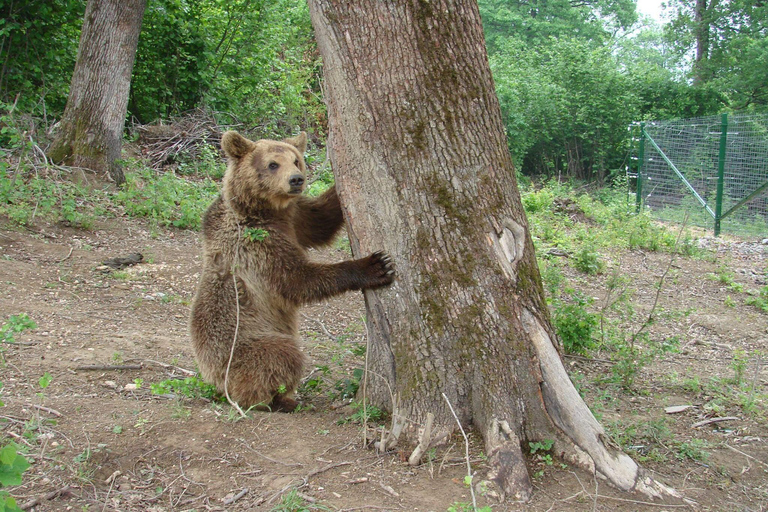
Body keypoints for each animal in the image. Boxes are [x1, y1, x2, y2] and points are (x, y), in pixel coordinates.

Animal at [189, 130, 394, 412]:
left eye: (296, 160)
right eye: (273, 164)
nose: (296, 179)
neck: (265, 210)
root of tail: (211, 374)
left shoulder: (294, 218)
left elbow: (320, 221)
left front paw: (338, 183)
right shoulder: (258, 246)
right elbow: (297, 280)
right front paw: (375, 265)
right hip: (245, 344)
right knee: (280, 357)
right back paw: (276, 400)